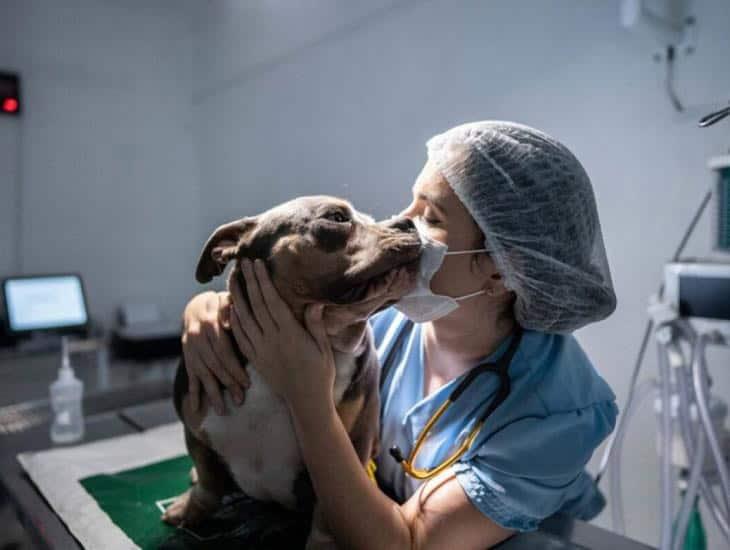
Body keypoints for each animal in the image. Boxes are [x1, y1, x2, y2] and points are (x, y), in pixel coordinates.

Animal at [161, 196, 418, 548]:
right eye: (337, 217)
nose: (409, 222)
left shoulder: (350, 446)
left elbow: (326, 514)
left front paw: (321, 544)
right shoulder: (193, 427)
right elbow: (209, 481)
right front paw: (191, 508)